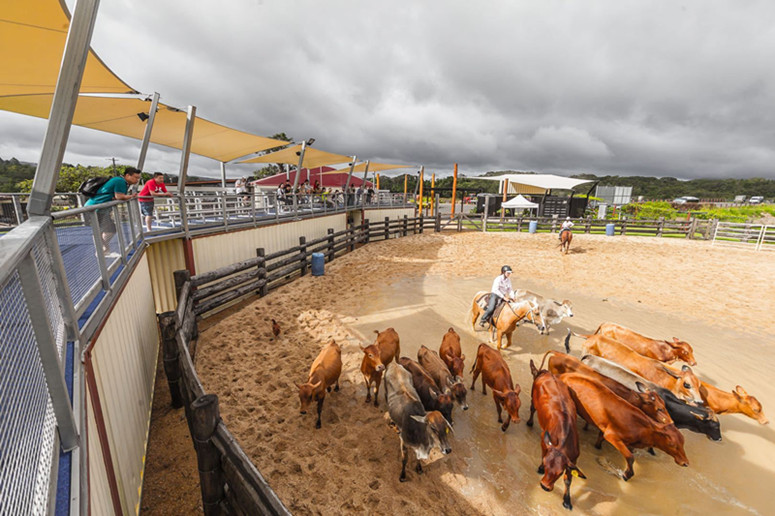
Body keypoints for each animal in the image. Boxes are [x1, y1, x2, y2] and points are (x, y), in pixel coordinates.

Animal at [526, 359, 585, 510]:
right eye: (547, 466)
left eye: (559, 473)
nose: (544, 486)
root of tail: (549, 373)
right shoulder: (544, 439)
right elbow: (543, 454)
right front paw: (540, 467)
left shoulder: (573, 459)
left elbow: (568, 480)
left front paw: (567, 500)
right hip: (533, 399)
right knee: (532, 409)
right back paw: (529, 422)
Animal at [558, 373, 689, 481]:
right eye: (672, 444)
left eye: (682, 443)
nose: (685, 463)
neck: (643, 427)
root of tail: (565, 375)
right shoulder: (612, 436)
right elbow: (630, 457)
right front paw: (626, 475)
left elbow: (600, 439)